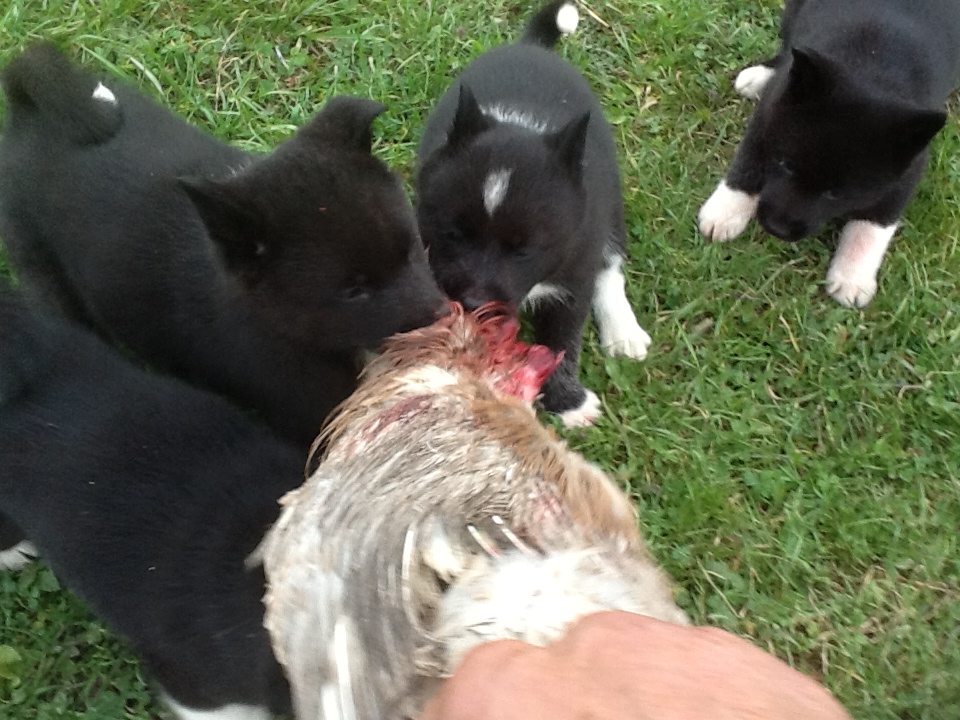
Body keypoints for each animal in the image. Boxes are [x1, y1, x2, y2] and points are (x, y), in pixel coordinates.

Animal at [415, 1, 651, 427]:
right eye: (452, 235)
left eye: (524, 251)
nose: (474, 304)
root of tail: (533, 47)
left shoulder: (573, 278)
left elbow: (561, 340)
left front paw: (567, 402)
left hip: (610, 208)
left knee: (610, 265)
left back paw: (622, 331)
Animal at [699, 0, 960, 308]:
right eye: (785, 164)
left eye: (837, 193)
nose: (777, 228)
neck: (871, 67)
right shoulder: (771, 113)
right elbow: (749, 162)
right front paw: (724, 213)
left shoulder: (909, 166)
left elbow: (876, 221)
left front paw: (852, 276)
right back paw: (763, 74)